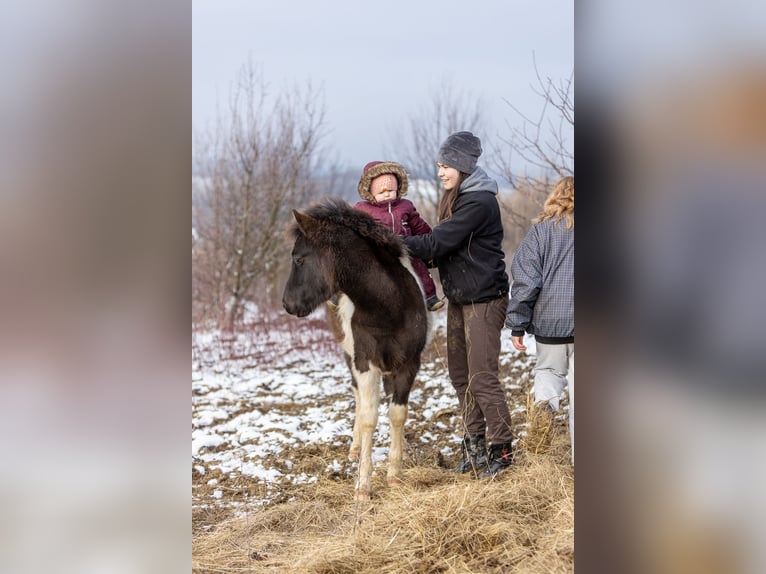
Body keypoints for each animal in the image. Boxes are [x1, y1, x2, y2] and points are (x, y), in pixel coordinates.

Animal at [284, 197, 436, 500]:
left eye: (299, 259)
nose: (287, 304)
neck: (387, 306)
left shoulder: (409, 364)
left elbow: (397, 413)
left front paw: (394, 473)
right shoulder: (365, 363)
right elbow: (368, 417)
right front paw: (363, 485)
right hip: (349, 356)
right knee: (357, 396)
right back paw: (355, 449)